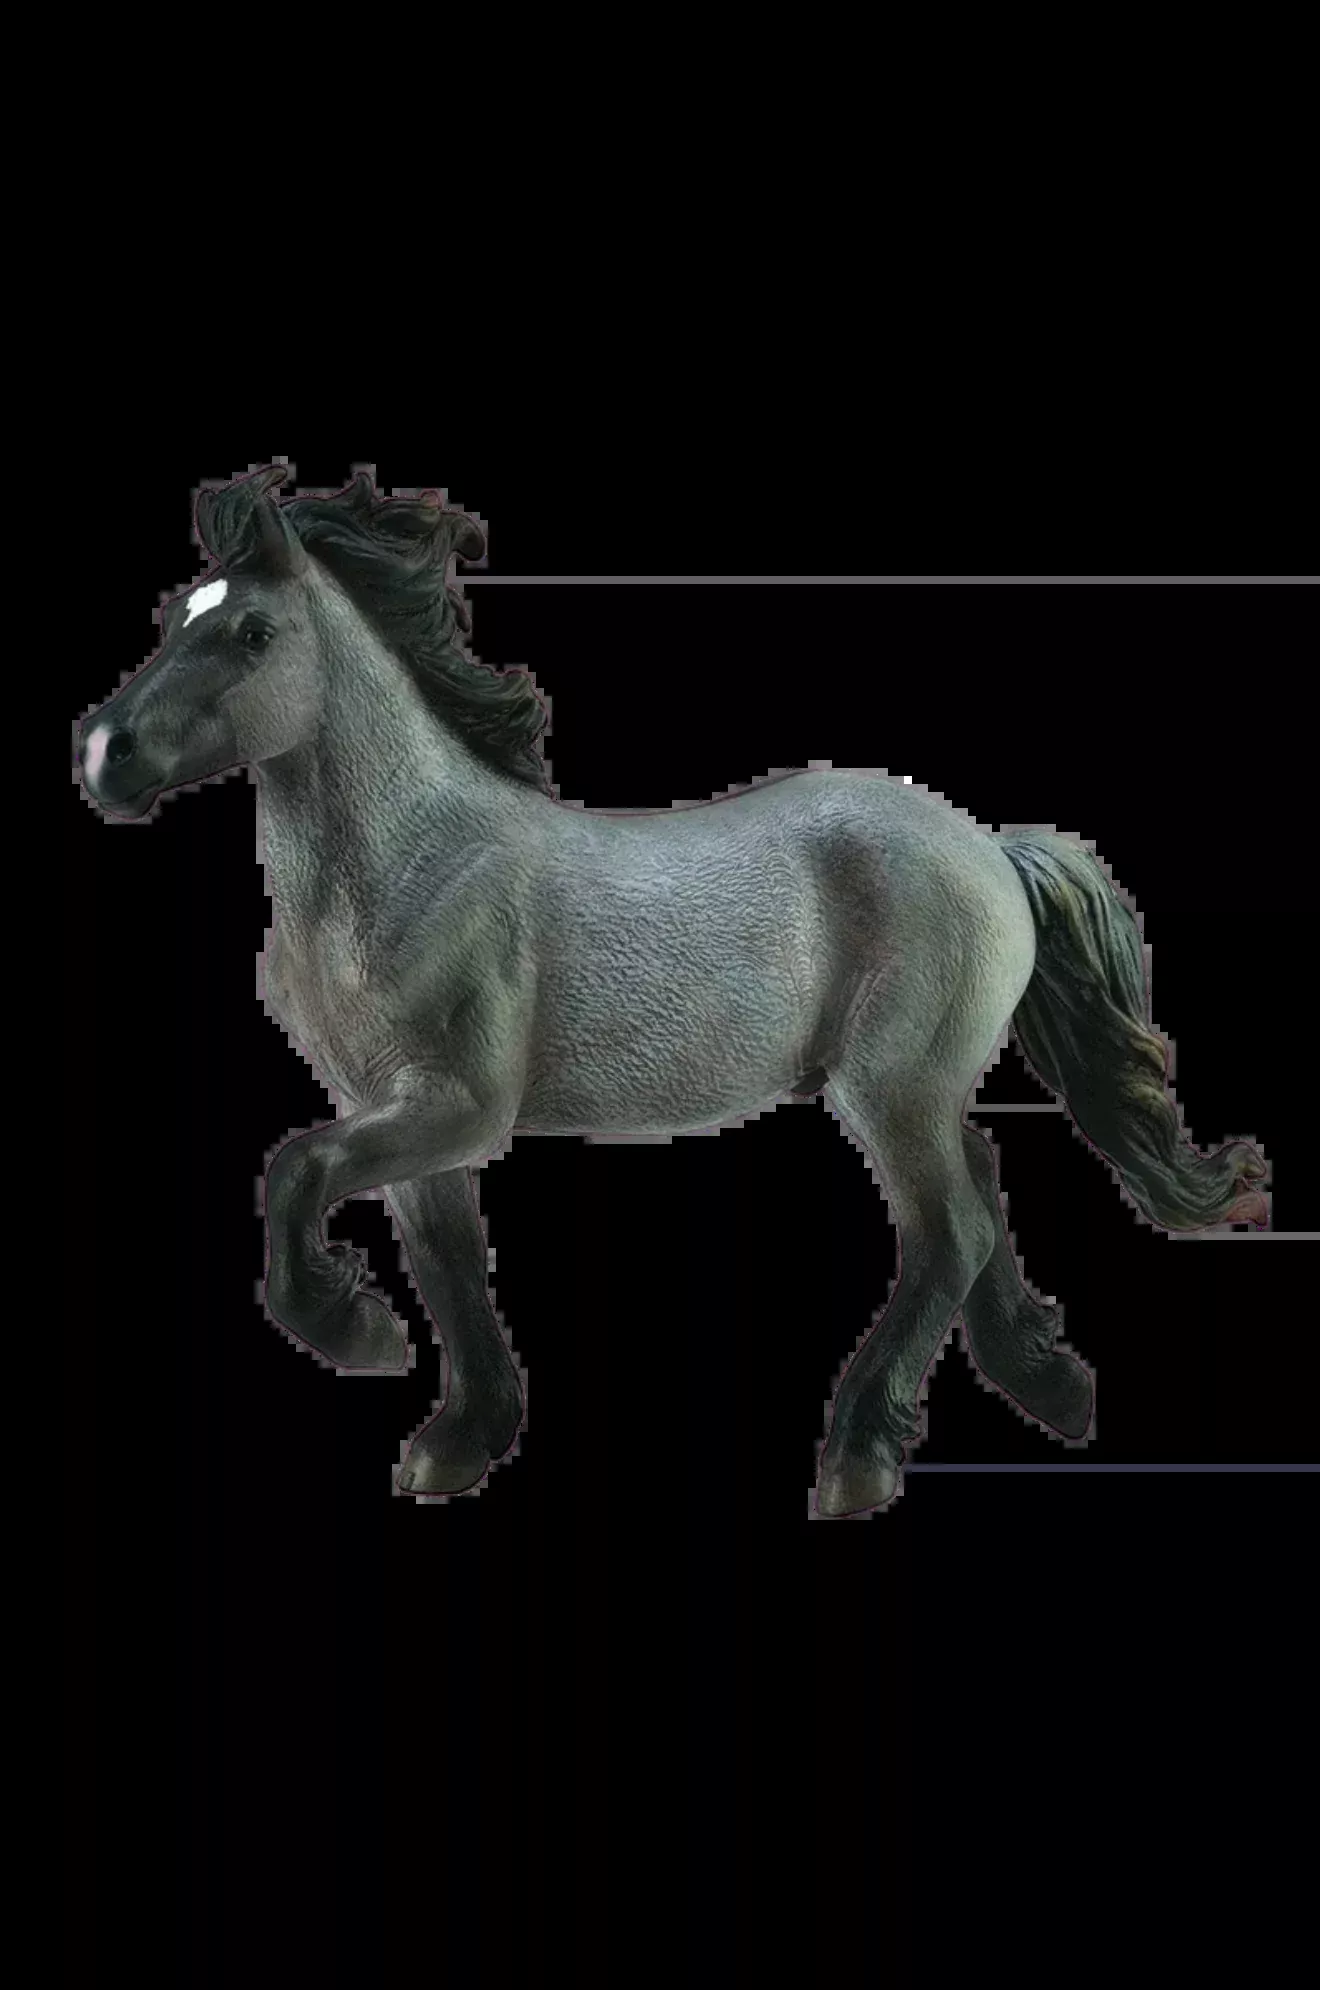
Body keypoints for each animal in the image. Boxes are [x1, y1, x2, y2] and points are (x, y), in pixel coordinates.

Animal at [74, 467, 1271, 1515]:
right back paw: (1054, 1390)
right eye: (174, 613)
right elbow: (448, 1266)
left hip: (891, 1090)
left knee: (953, 1231)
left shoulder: (455, 1105)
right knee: (981, 1181)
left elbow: (296, 1172)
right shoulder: (407, 1120)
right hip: (915, 1090)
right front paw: (455, 1443)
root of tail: (991, 847)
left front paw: (357, 1334)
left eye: (250, 633)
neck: (416, 863)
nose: (101, 754)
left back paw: (860, 1460)